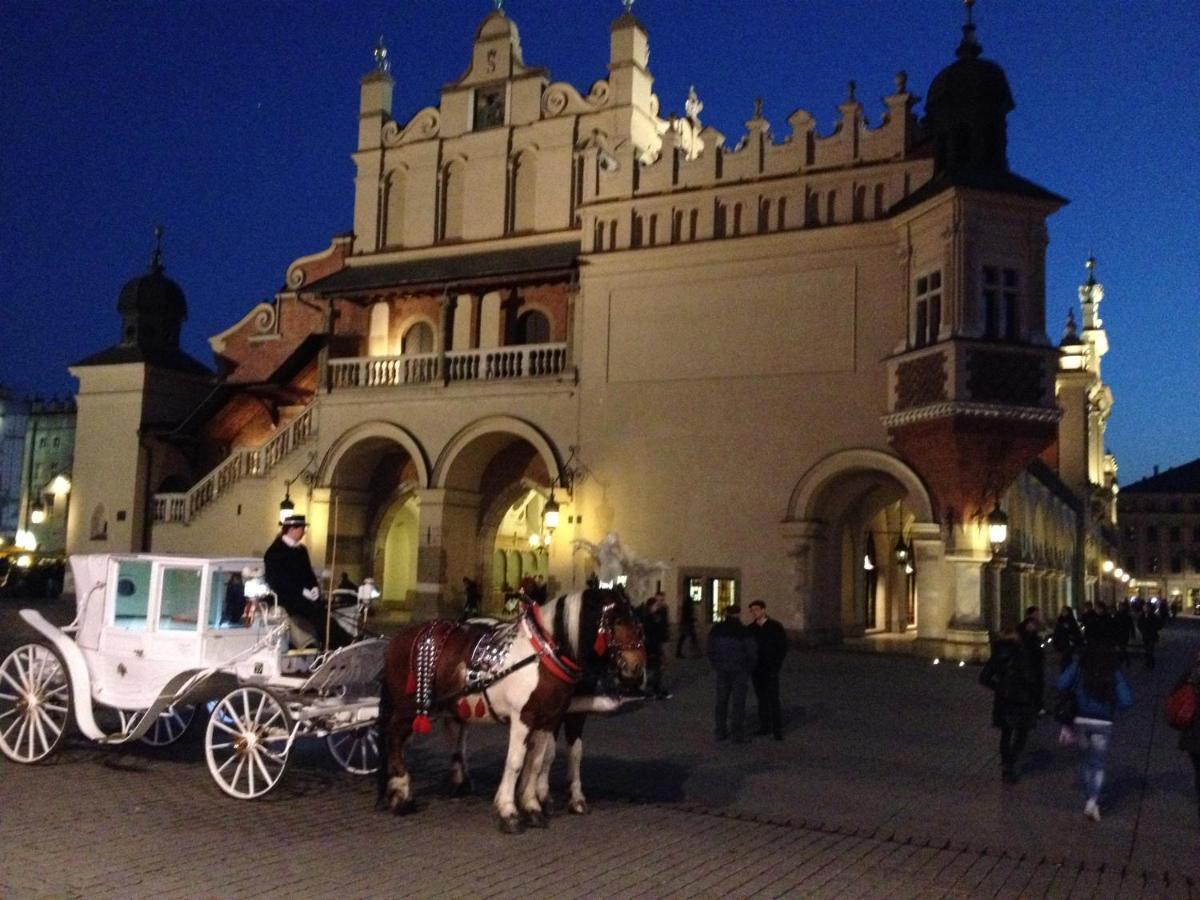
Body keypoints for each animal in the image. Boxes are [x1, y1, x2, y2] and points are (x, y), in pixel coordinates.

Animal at [381, 588, 648, 835]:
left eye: (636, 621)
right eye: (618, 622)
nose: (636, 667)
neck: (542, 655)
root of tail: (399, 637)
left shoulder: (550, 718)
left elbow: (539, 760)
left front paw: (533, 806)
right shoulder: (524, 718)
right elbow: (516, 761)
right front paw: (509, 810)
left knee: (448, 733)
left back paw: (451, 782)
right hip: (408, 707)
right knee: (395, 739)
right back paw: (401, 794)